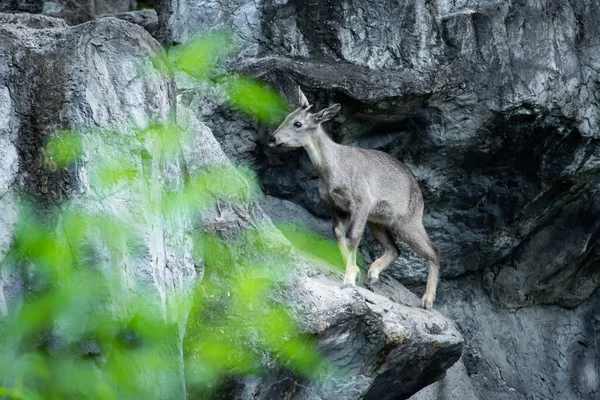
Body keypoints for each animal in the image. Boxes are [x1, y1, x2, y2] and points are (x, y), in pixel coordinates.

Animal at [270, 87, 438, 310]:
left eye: (298, 123)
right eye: (288, 116)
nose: (273, 138)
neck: (333, 166)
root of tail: (418, 190)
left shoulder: (361, 202)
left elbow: (352, 237)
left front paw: (349, 280)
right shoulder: (337, 206)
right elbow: (339, 235)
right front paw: (355, 272)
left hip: (407, 222)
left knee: (433, 251)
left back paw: (427, 300)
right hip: (378, 222)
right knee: (394, 250)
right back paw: (373, 274)